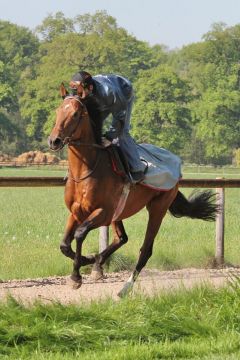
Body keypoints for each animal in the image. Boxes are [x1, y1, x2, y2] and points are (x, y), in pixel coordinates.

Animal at [47, 86, 218, 296]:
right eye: (58, 111)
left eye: (75, 114)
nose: (54, 141)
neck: (87, 170)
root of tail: (176, 163)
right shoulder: (76, 212)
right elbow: (64, 245)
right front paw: (88, 260)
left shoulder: (103, 213)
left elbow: (79, 234)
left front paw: (76, 277)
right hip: (121, 213)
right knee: (122, 238)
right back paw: (98, 261)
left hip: (157, 208)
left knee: (145, 250)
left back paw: (124, 288)